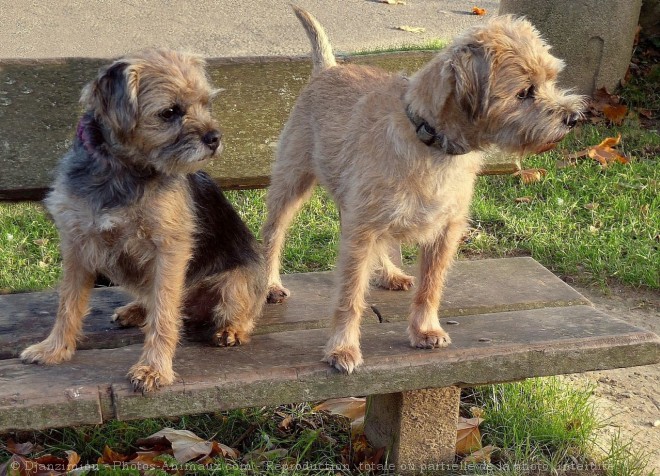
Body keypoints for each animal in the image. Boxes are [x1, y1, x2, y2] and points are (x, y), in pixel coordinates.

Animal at [21, 48, 266, 392]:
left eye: (206, 103)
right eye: (170, 112)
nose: (215, 137)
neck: (122, 170)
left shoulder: (168, 250)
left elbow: (164, 313)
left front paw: (154, 368)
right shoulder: (77, 245)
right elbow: (67, 304)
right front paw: (54, 348)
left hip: (235, 281)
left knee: (237, 310)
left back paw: (232, 329)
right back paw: (136, 310)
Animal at [262, 5, 584, 374]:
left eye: (551, 80)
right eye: (524, 92)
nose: (574, 117)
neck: (430, 142)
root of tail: (328, 68)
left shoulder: (445, 231)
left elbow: (431, 287)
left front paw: (424, 329)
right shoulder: (361, 231)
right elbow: (350, 295)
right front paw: (342, 348)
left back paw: (389, 273)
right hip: (292, 183)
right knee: (273, 234)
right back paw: (270, 283)